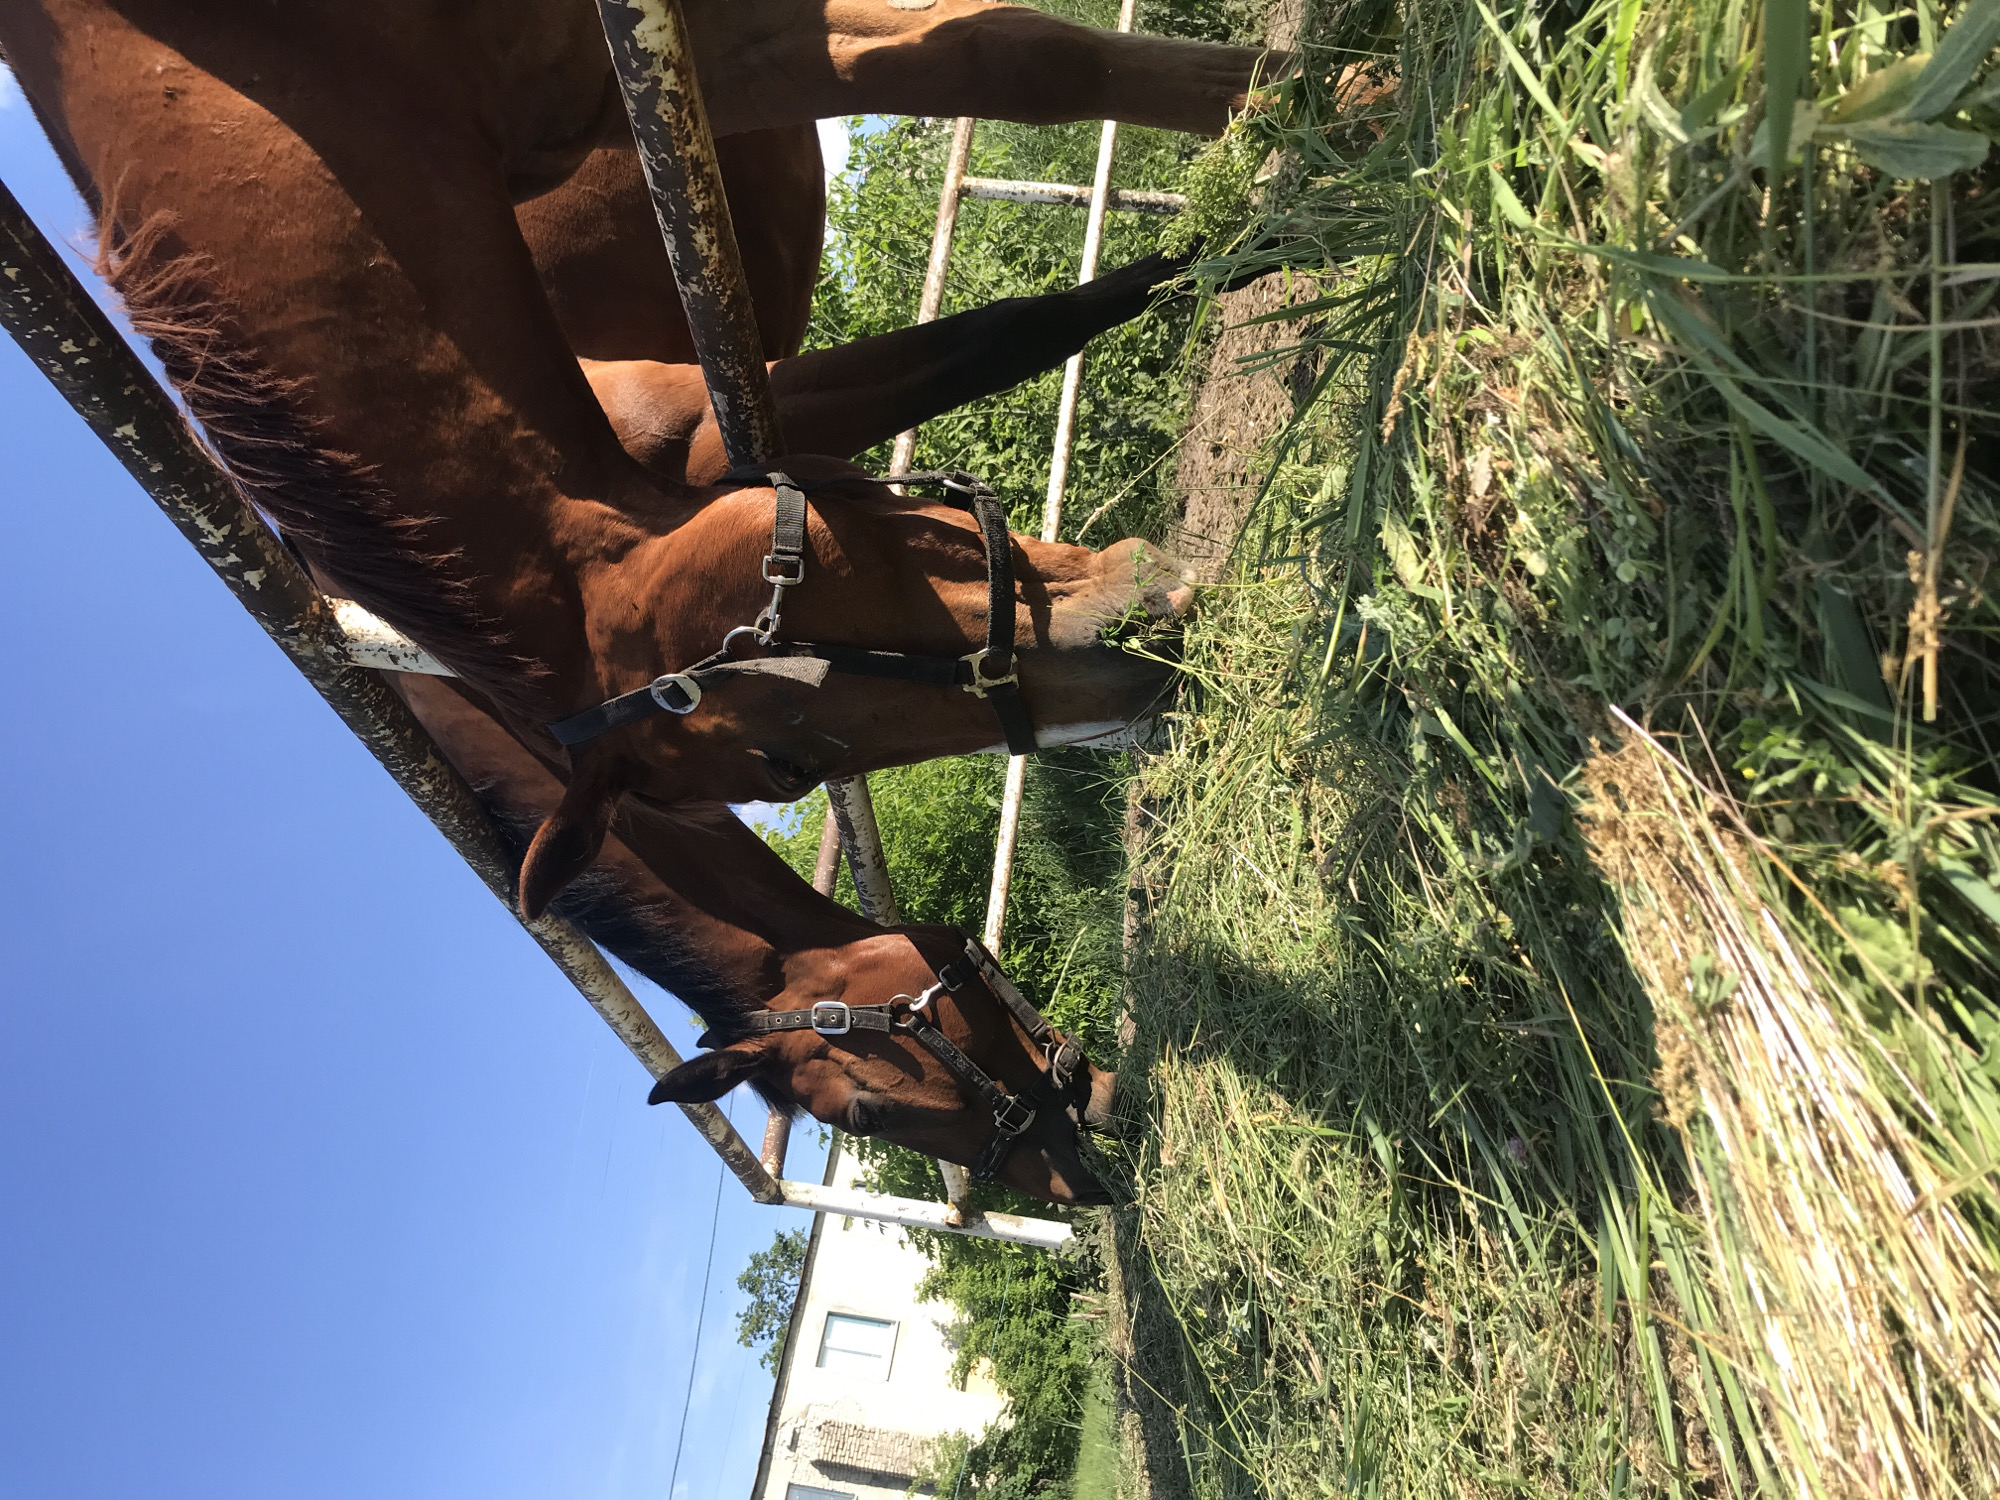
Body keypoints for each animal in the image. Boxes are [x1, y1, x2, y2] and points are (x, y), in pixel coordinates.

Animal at [0, 1, 1266, 910]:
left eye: (809, 565)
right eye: (780, 774)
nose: (1134, 661)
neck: (242, 60)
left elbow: (1019, 77)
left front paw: (1276, 163)